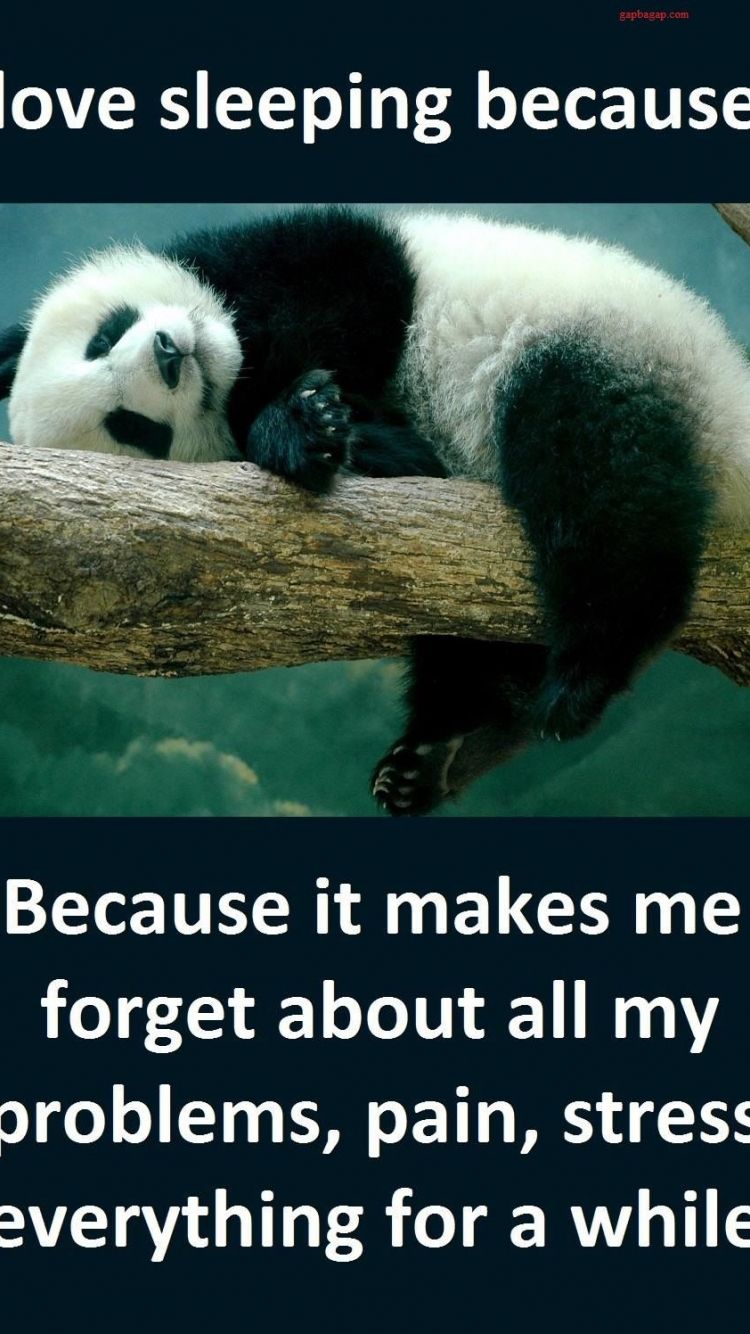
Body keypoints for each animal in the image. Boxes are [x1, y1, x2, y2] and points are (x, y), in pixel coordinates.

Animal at [2, 206, 749, 815]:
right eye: (134, 429)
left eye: (105, 336)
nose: (169, 355)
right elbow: (410, 461)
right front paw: (326, 431)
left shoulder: (310, 256)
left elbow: (344, 289)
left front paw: (303, 414)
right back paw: (448, 751)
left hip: (611, 344)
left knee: (601, 481)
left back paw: (579, 679)